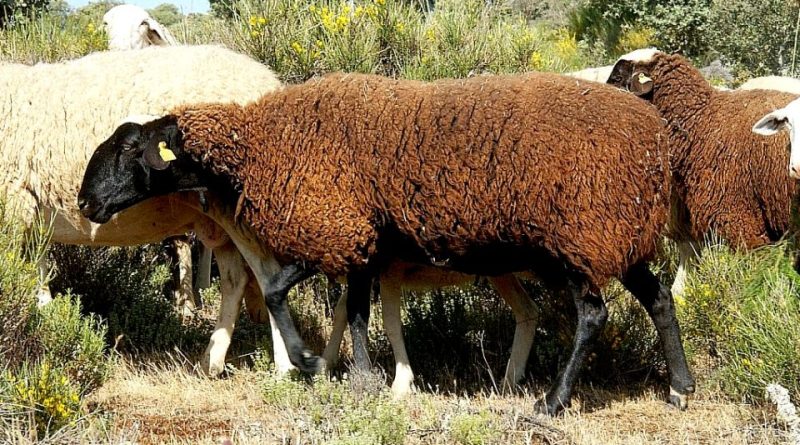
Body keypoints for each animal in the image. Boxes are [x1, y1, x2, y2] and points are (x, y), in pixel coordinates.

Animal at [76, 71, 692, 414]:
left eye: (129, 148)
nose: (84, 203)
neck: (258, 147)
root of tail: (656, 137)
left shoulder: (333, 227)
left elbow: (277, 292)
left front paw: (306, 360)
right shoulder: (362, 244)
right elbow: (354, 313)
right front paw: (361, 377)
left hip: (579, 238)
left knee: (594, 314)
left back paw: (553, 402)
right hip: (622, 237)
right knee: (659, 297)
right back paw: (681, 387)